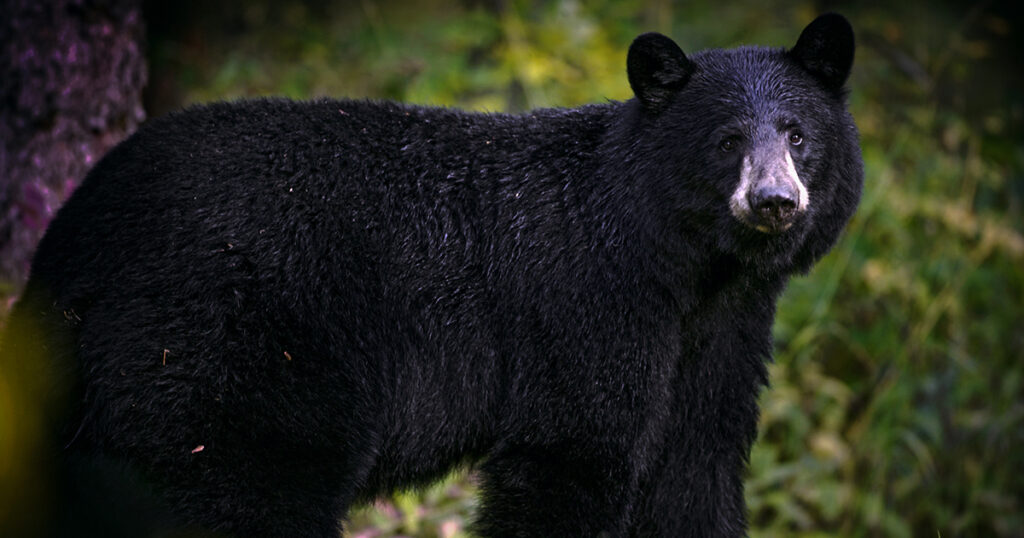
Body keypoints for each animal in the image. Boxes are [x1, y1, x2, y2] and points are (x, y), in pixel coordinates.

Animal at [1, 13, 862, 538]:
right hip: (222, 363)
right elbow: (572, 456)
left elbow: (694, 470)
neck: (686, 265)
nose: (775, 201)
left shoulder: (722, 335)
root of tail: (72, 245)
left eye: (797, 133)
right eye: (727, 140)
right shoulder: (586, 309)